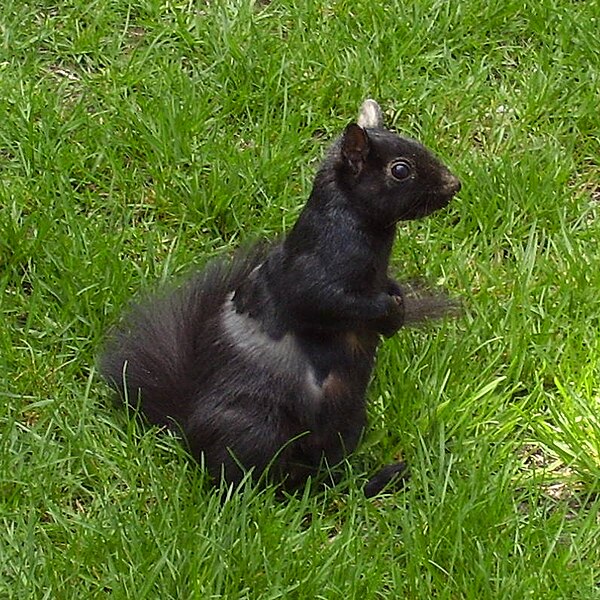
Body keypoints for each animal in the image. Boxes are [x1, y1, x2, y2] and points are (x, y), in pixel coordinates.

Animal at [101, 99, 462, 496]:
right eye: (400, 170)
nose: (454, 184)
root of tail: (189, 432)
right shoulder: (309, 278)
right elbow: (332, 303)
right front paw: (388, 309)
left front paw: (397, 307)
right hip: (256, 427)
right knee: (251, 477)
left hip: (348, 418)